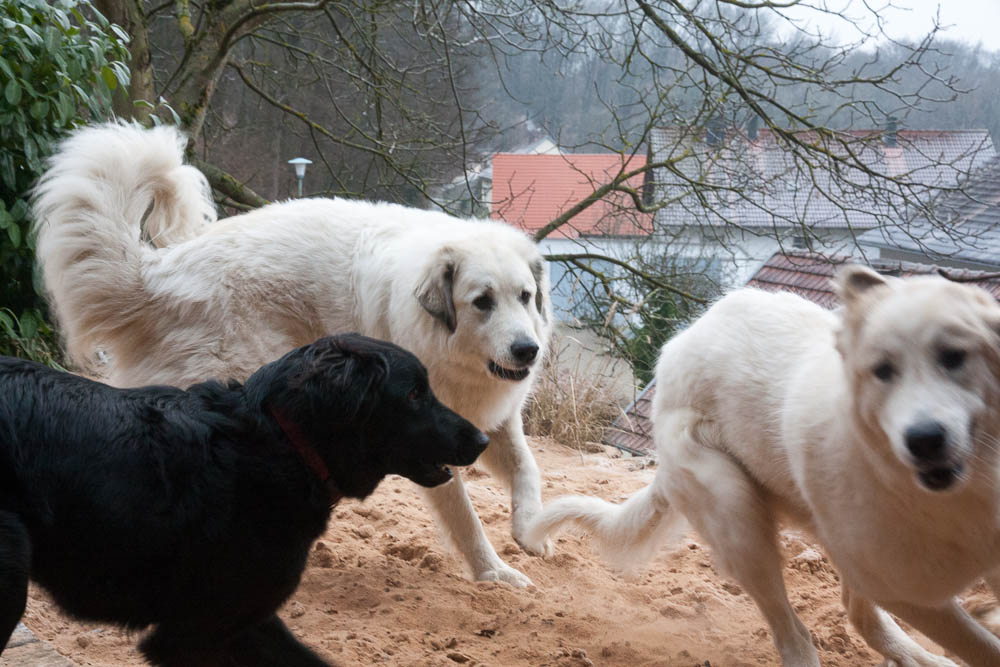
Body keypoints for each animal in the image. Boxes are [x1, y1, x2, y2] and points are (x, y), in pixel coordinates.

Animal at [33, 122, 556, 588]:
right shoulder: (429, 436)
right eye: (482, 301)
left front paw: (530, 532)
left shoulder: (492, 422)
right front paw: (496, 574)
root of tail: (160, 272)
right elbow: (466, 517)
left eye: (526, 296)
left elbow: (527, 469)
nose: (526, 350)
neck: (450, 347)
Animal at [532, 268, 1000, 667]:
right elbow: (981, 647)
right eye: (882, 372)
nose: (924, 440)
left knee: (854, 611)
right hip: (738, 518)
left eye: (955, 356)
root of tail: (673, 353)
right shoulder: (905, 589)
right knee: (793, 634)